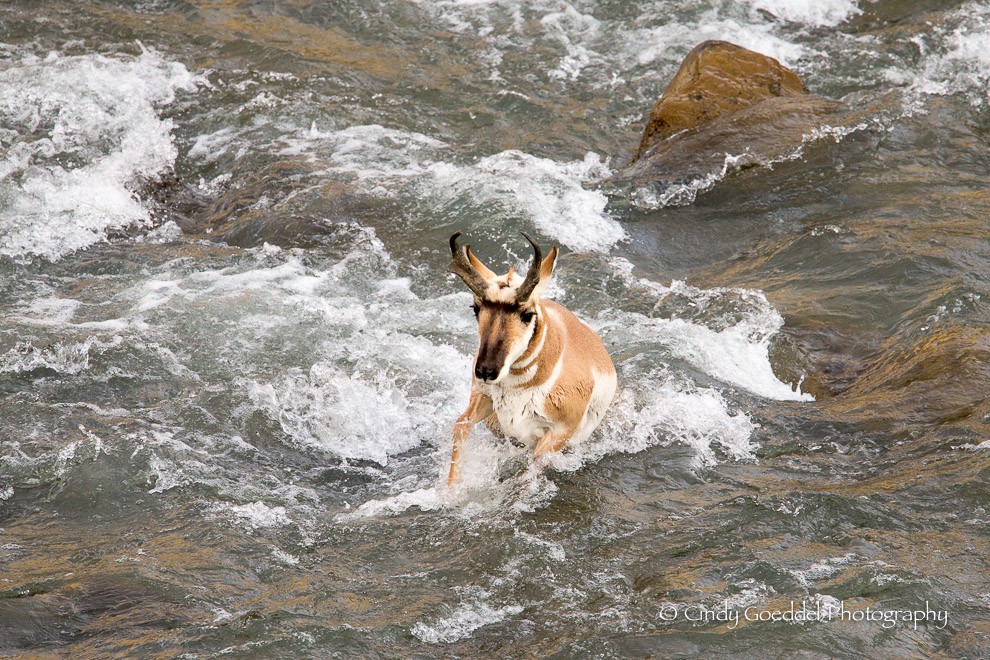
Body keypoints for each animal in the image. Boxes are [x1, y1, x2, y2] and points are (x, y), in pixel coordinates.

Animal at [446, 232, 616, 484]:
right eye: (475, 308)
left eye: (527, 314)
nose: (486, 371)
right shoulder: (482, 399)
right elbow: (460, 426)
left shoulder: (557, 435)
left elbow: (531, 470)